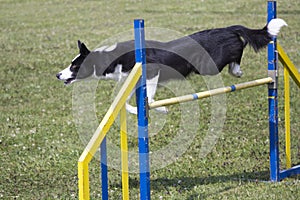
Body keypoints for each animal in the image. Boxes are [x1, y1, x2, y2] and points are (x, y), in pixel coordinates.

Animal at [56, 19, 286, 114]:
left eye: (75, 66)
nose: (58, 75)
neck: (111, 58)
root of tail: (227, 28)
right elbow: (127, 102)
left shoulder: (151, 73)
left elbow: (150, 99)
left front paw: (162, 108)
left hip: (209, 65)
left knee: (240, 46)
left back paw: (237, 70)